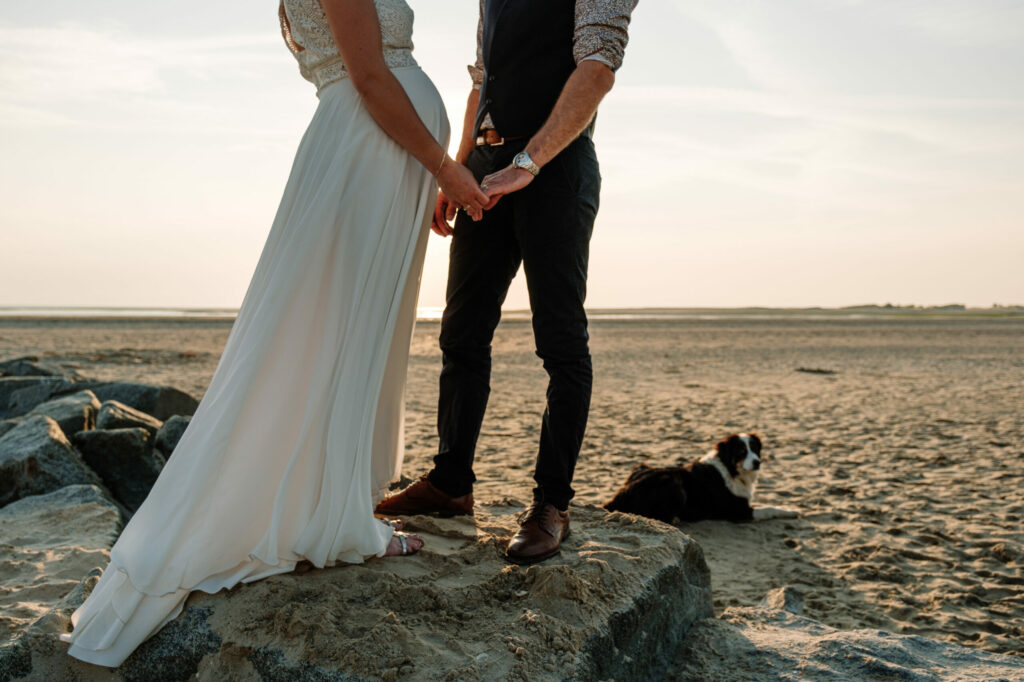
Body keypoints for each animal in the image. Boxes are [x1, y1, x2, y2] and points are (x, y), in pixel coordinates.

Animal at [598, 432, 798, 522]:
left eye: (756, 449)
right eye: (741, 451)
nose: (757, 462)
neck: (731, 470)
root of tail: (620, 495)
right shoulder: (739, 511)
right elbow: (769, 508)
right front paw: (791, 511)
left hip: (642, 465)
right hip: (674, 482)